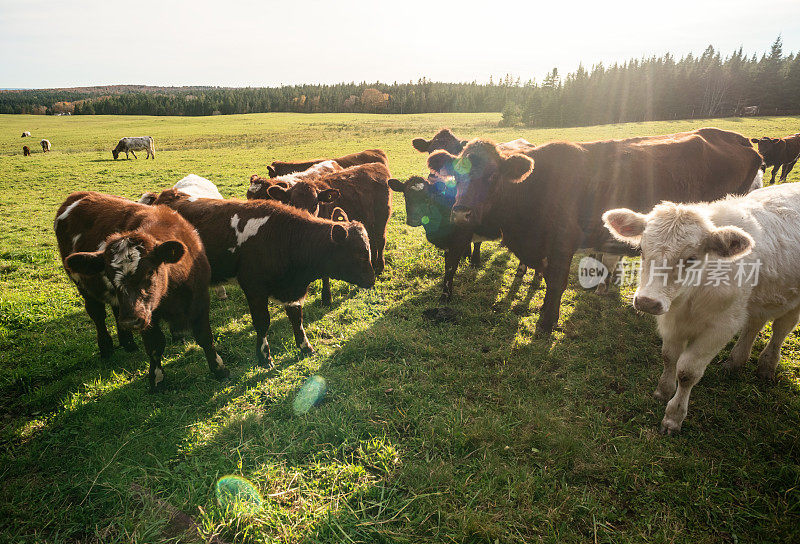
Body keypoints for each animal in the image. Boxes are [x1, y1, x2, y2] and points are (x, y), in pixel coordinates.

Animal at [54, 191, 228, 392]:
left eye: (150, 272)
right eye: (108, 275)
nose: (130, 321)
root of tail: (78, 195)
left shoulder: (200, 299)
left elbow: (205, 336)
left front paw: (219, 369)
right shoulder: (147, 315)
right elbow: (155, 345)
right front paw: (157, 379)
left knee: (116, 310)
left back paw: (127, 342)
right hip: (84, 288)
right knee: (97, 315)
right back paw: (106, 347)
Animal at [149, 189, 376, 368]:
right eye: (358, 254)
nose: (372, 280)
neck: (284, 237)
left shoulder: (291, 290)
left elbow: (297, 318)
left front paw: (305, 346)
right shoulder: (253, 288)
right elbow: (262, 322)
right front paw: (264, 357)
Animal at [258, 162, 392, 306]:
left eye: (315, 204)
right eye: (292, 203)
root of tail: (376, 165)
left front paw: (326, 297)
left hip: (382, 217)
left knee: (381, 240)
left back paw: (380, 266)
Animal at [434, 127, 764, 336]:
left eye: (492, 175)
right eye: (456, 176)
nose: (461, 213)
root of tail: (742, 141)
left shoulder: (562, 242)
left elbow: (556, 284)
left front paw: (546, 324)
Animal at [604, 182, 800, 434]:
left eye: (691, 258)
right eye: (642, 251)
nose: (647, 301)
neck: (689, 300)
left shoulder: (721, 327)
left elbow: (687, 371)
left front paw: (673, 417)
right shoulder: (671, 321)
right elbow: (669, 357)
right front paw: (663, 391)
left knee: (781, 329)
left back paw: (766, 365)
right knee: (754, 324)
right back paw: (736, 362)